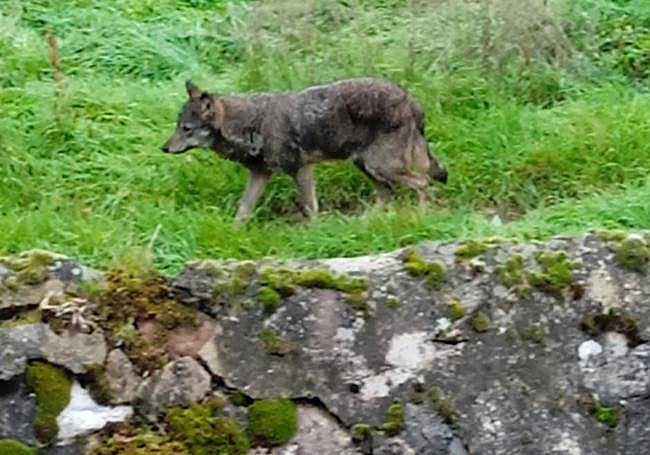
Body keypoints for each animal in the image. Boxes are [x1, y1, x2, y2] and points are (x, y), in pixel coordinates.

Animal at [162, 78, 448, 222]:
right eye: (178, 126)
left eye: (186, 129)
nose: (163, 148)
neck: (252, 125)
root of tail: (410, 99)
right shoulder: (260, 175)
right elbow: (242, 211)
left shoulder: (300, 169)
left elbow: (309, 208)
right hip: (367, 166)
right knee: (388, 193)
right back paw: (364, 223)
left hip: (381, 166)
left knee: (422, 182)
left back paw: (422, 217)